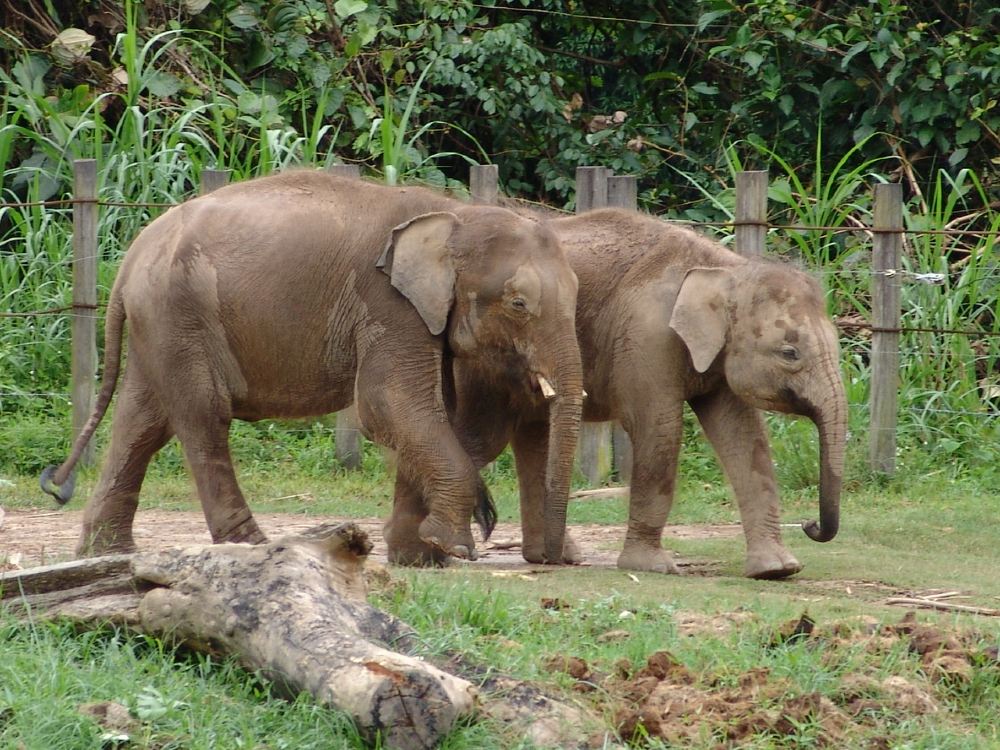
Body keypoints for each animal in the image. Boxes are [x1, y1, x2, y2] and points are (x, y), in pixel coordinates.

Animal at [41, 167, 584, 560]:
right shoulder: (388, 304)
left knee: (142, 423)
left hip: (158, 324)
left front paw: (420, 553)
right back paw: (252, 547)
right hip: (179, 316)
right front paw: (454, 544)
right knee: (203, 417)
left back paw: (104, 554)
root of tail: (129, 260)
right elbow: (389, 406)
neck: (456, 214)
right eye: (519, 304)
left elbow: (434, 414)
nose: (555, 558)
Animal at [446, 209, 844, 580]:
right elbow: (659, 429)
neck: (725, 268)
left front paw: (777, 570)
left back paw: (550, 555)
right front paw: (654, 567)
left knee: (532, 437)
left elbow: (746, 439)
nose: (810, 525)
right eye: (789, 353)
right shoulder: (647, 334)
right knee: (481, 436)